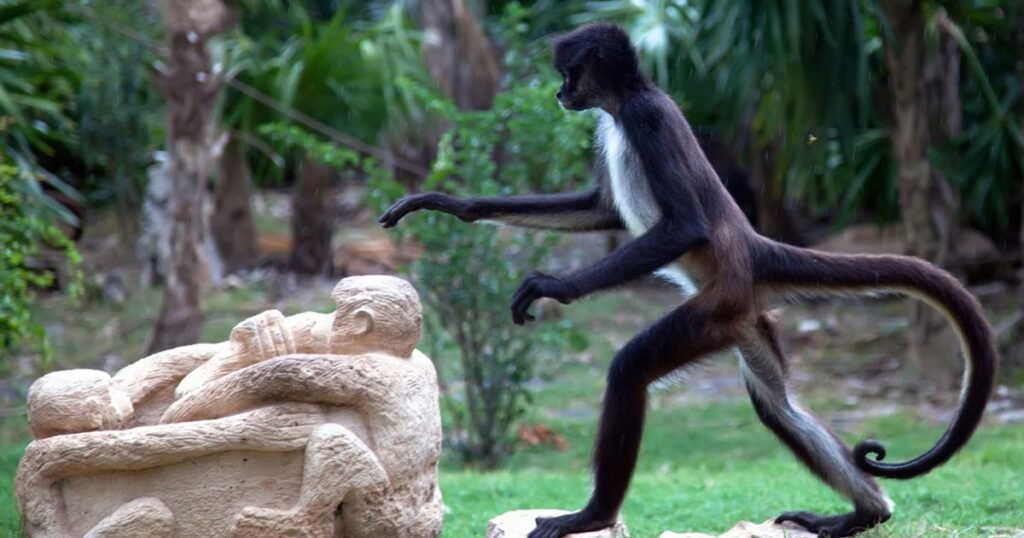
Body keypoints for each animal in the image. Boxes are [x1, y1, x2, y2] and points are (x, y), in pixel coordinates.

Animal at [378, 22, 997, 538]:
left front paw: (553, 286)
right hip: (742, 318)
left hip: (714, 309)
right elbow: (603, 209)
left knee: (632, 369)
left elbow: (684, 225)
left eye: (568, 73)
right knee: (776, 404)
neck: (624, 104)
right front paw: (456, 205)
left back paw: (593, 515)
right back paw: (865, 514)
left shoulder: (646, 118)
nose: (558, 94)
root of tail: (752, 248)